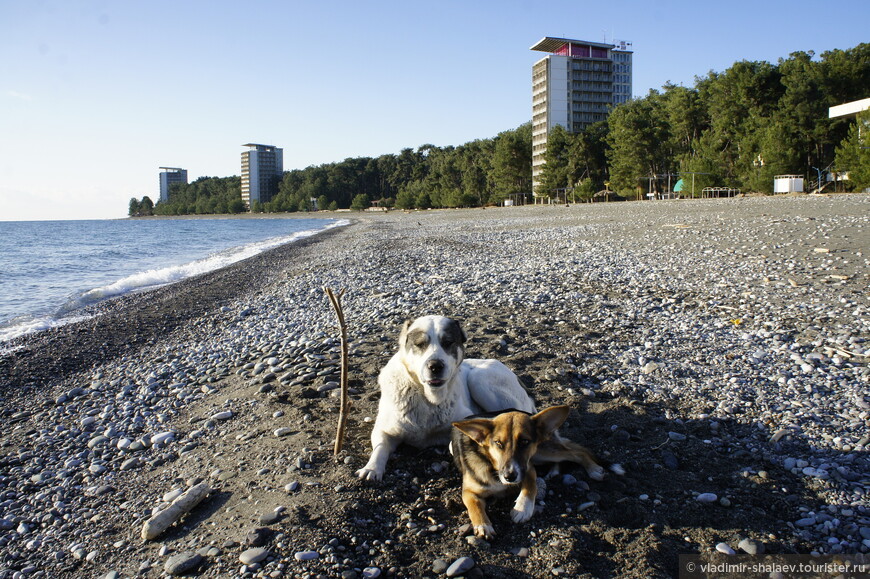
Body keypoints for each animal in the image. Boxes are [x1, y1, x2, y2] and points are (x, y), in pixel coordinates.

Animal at [356, 314, 536, 482]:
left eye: (448, 342)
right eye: (420, 344)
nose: (435, 366)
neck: (429, 398)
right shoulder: (384, 429)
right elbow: (380, 448)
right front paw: (372, 468)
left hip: (479, 379)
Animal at [450, 408, 612, 540]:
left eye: (524, 442)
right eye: (498, 443)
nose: (510, 477)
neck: (492, 467)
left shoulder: (527, 467)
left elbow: (530, 485)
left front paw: (522, 508)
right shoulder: (468, 491)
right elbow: (475, 506)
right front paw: (483, 525)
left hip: (541, 452)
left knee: (577, 452)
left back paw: (593, 469)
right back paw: (554, 471)